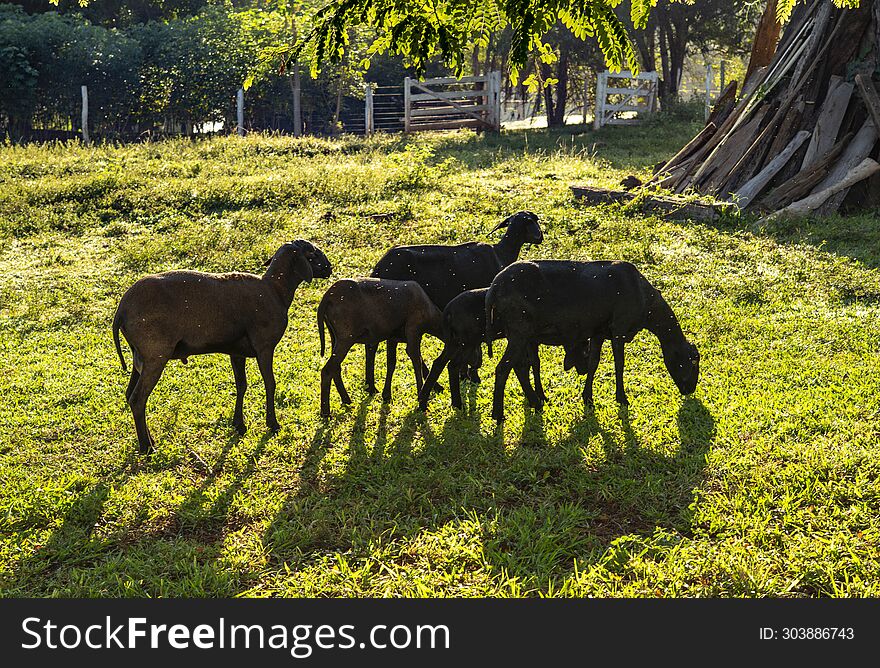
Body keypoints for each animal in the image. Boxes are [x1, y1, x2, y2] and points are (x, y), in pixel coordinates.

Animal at [110, 237, 330, 452]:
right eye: (311, 253)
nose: (329, 268)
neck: (276, 290)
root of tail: (121, 311)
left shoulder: (237, 352)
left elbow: (241, 385)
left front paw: (239, 424)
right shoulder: (264, 346)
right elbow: (270, 383)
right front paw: (273, 424)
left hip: (140, 355)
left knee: (130, 395)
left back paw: (150, 441)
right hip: (155, 355)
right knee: (138, 399)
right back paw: (147, 448)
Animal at [316, 278, 444, 418]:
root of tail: (327, 297)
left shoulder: (393, 338)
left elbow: (391, 363)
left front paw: (387, 395)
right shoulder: (414, 330)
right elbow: (416, 361)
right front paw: (421, 398)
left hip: (334, 335)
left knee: (335, 368)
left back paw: (346, 400)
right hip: (346, 337)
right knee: (327, 370)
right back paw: (326, 412)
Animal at [364, 210, 544, 392]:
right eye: (531, 221)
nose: (540, 238)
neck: (501, 254)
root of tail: (379, 267)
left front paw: (464, 374)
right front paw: (471, 375)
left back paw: (373, 385)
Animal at [484, 258, 696, 420]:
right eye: (692, 362)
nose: (690, 389)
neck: (646, 305)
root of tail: (493, 288)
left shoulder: (598, 332)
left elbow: (594, 363)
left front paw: (587, 398)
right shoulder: (619, 328)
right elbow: (619, 364)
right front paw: (622, 398)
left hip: (520, 333)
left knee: (520, 366)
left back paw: (537, 400)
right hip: (519, 330)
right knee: (504, 368)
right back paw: (499, 414)